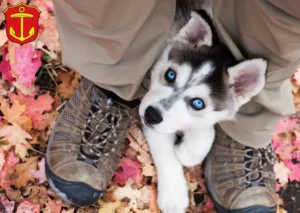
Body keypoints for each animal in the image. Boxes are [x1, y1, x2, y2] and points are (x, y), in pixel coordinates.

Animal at [138, 0, 268, 212]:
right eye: (170, 75)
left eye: (198, 103)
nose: (151, 115)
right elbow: (164, 151)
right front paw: (173, 196)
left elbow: (206, 132)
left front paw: (186, 152)